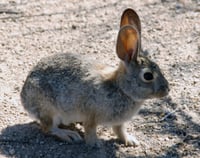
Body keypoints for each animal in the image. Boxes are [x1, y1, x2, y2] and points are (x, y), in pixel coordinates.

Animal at [21, 8, 170, 147]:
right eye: (148, 76)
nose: (167, 90)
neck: (121, 89)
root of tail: (24, 97)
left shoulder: (119, 122)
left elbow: (119, 130)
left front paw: (130, 140)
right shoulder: (91, 116)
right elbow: (90, 130)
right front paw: (96, 144)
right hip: (49, 109)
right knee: (48, 127)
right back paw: (69, 135)